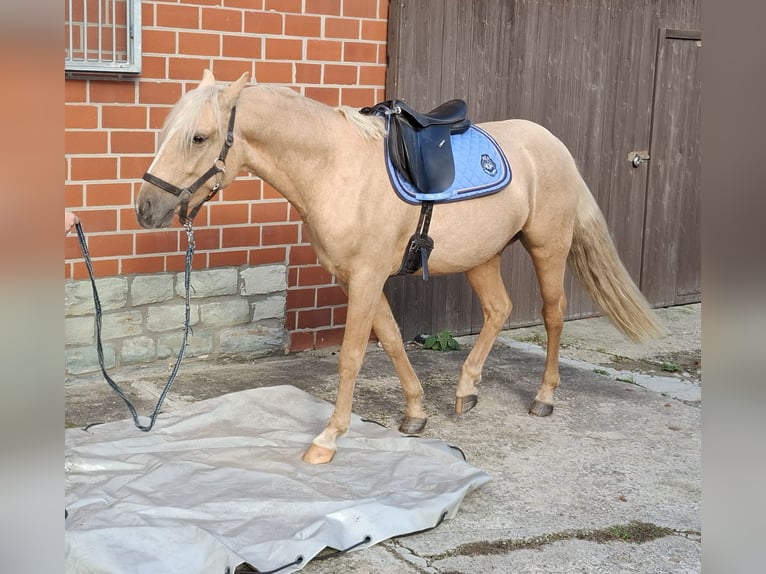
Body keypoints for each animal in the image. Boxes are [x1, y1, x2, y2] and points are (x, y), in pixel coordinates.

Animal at [138, 71, 664, 468]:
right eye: (163, 132)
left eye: (199, 137)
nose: (146, 209)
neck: (335, 168)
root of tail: (554, 144)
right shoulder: (356, 278)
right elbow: (391, 341)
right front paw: (415, 413)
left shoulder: (367, 277)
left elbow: (352, 357)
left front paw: (328, 439)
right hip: (481, 256)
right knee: (498, 310)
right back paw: (466, 389)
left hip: (547, 247)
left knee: (553, 314)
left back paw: (545, 398)